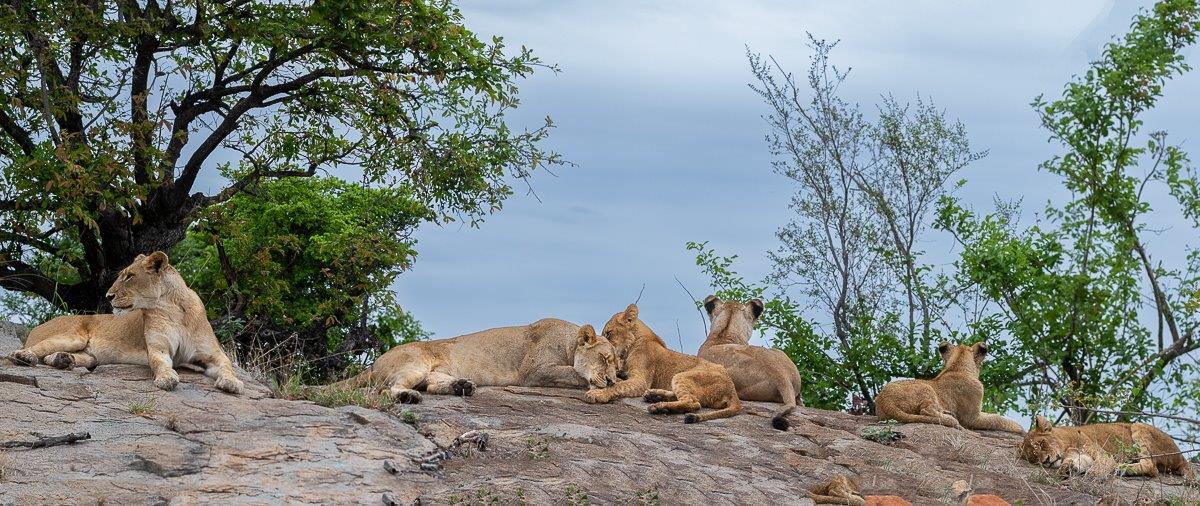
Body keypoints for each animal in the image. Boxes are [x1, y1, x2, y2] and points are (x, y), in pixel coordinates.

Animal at [9, 252, 244, 394]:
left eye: (130, 276)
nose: (108, 296)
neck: (174, 308)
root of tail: (36, 329)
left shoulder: (213, 353)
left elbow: (227, 365)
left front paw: (233, 383)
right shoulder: (158, 348)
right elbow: (160, 363)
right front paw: (167, 378)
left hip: (90, 356)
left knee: (62, 358)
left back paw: (62, 360)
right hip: (73, 336)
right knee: (38, 349)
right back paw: (23, 356)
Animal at [326, 320, 620, 403]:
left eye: (618, 365)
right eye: (604, 358)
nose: (612, 379)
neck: (569, 344)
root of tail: (375, 362)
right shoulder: (535, 372)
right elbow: (575, 374)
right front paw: (597, 384)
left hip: (434, 373)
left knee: (431, 385)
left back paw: (462, 386)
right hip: (414, 364)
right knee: (387, 389)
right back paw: (408, 397)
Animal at [582, 303, 741, 424]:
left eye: (608, 333)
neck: (632, 345)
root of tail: (732, 390)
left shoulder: (640, 380)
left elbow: (617, 386)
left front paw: (597, 393)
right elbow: (618, 380)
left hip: (682, 375)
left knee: (694, 403)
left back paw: (659, 407)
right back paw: (654, 396)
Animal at [874, 341, 1023, 433]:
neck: (957, 367)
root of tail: (884, 401)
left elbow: (995, 416)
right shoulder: (971, 418)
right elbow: (997, 419)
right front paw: (1020, 428)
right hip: (926, 387)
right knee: (925, 411)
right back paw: (948, 416)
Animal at [1020, 414, 1195, 480]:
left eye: (1042, 443)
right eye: (1034, 457)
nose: (1046, 461)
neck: (1066, 445)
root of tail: (1182, 457)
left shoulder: (1102, 456)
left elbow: (1098, 467)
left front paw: (1093, 475)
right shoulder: (1081, 456)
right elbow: (1078, 463)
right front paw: (1066, 469)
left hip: (1138, 426)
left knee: (1151, 467)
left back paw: (1121, 468)